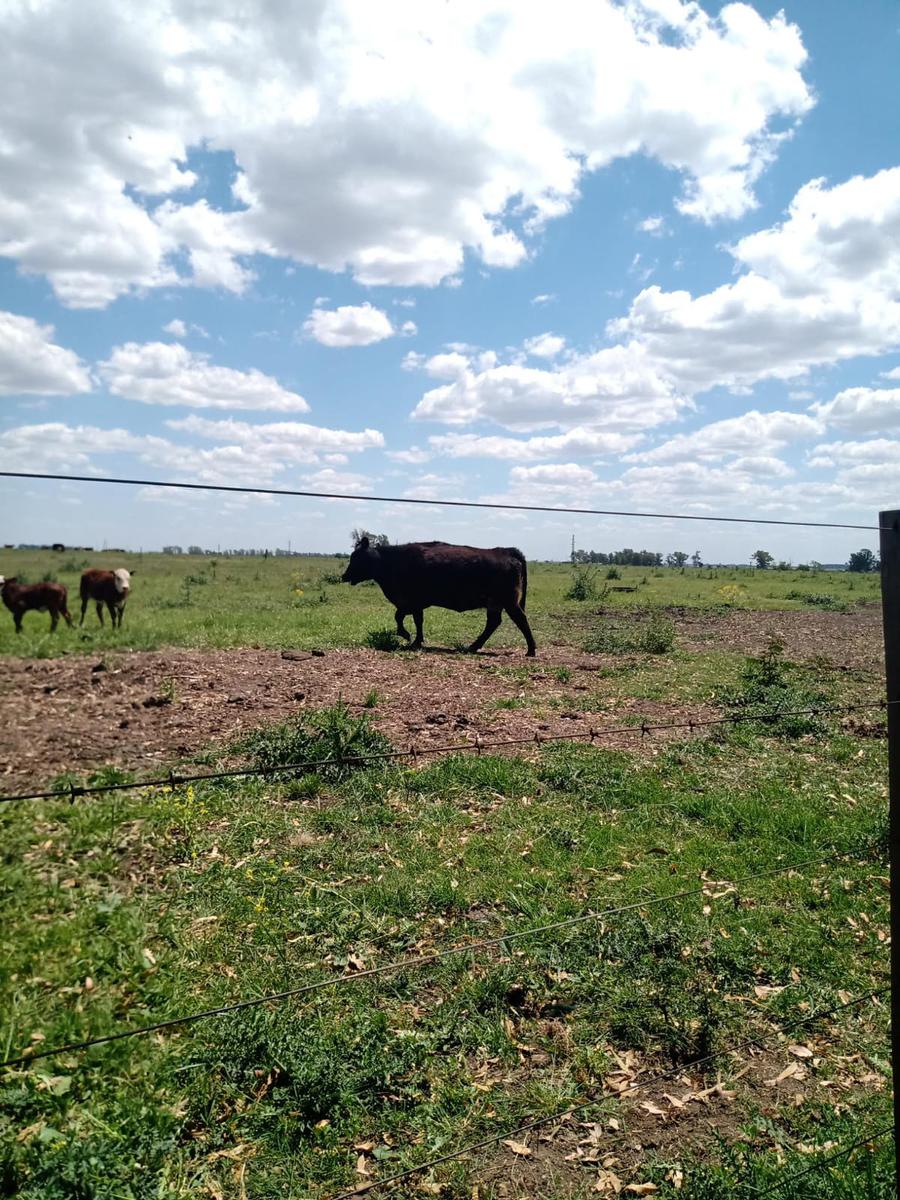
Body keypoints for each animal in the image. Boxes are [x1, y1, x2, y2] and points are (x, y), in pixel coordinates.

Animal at [340, 542, 535, 657]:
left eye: (357, 557)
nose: (344, 576)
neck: (393, 561)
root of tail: (505, 551)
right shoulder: (415, 605)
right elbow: (416, 620)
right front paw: (417, 640)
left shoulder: (411, 602)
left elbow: (399, 617)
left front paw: (406, 635)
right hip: (495, 603)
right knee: (493, 623)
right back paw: (473, 646)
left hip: (509, 602)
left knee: (521, 620)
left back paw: (531, 650)